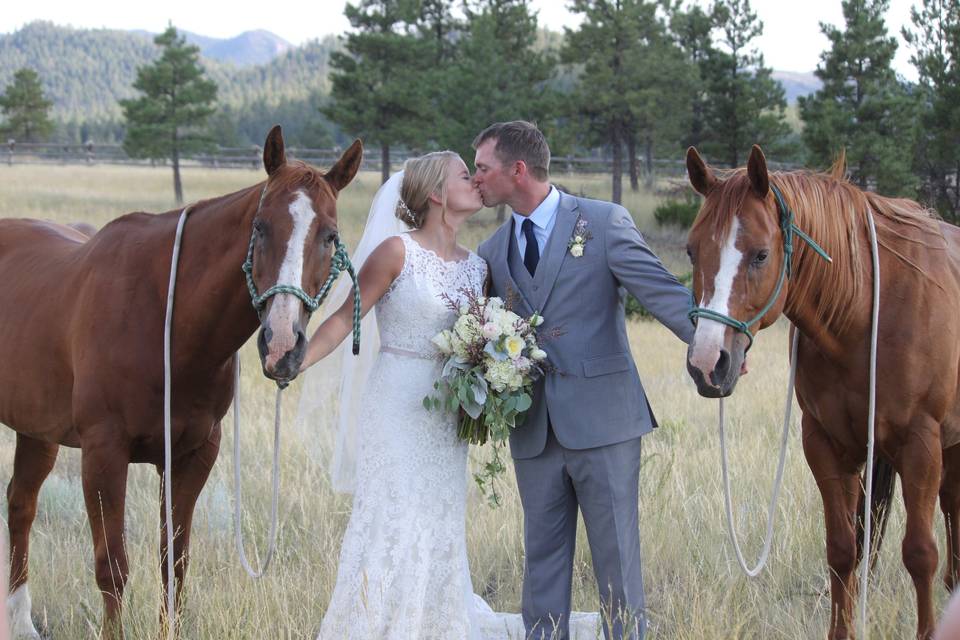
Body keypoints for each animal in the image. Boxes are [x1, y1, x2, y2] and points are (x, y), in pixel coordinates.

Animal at [0, 125, 360, 636]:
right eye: (260, 227)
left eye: (330, 236)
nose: (281, 344)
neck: (165, 322)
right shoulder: (103, 453)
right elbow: (112, 568)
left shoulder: (193, 455)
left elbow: (175, 564)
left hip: (36, 429)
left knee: (20, 504)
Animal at [684, 146, 960, 640]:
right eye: (692, 250)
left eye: (761, 254)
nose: (707, 362)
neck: (866, 311)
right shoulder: (826, 445)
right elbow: (842, 551)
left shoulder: (921, 445)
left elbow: (920, 553)